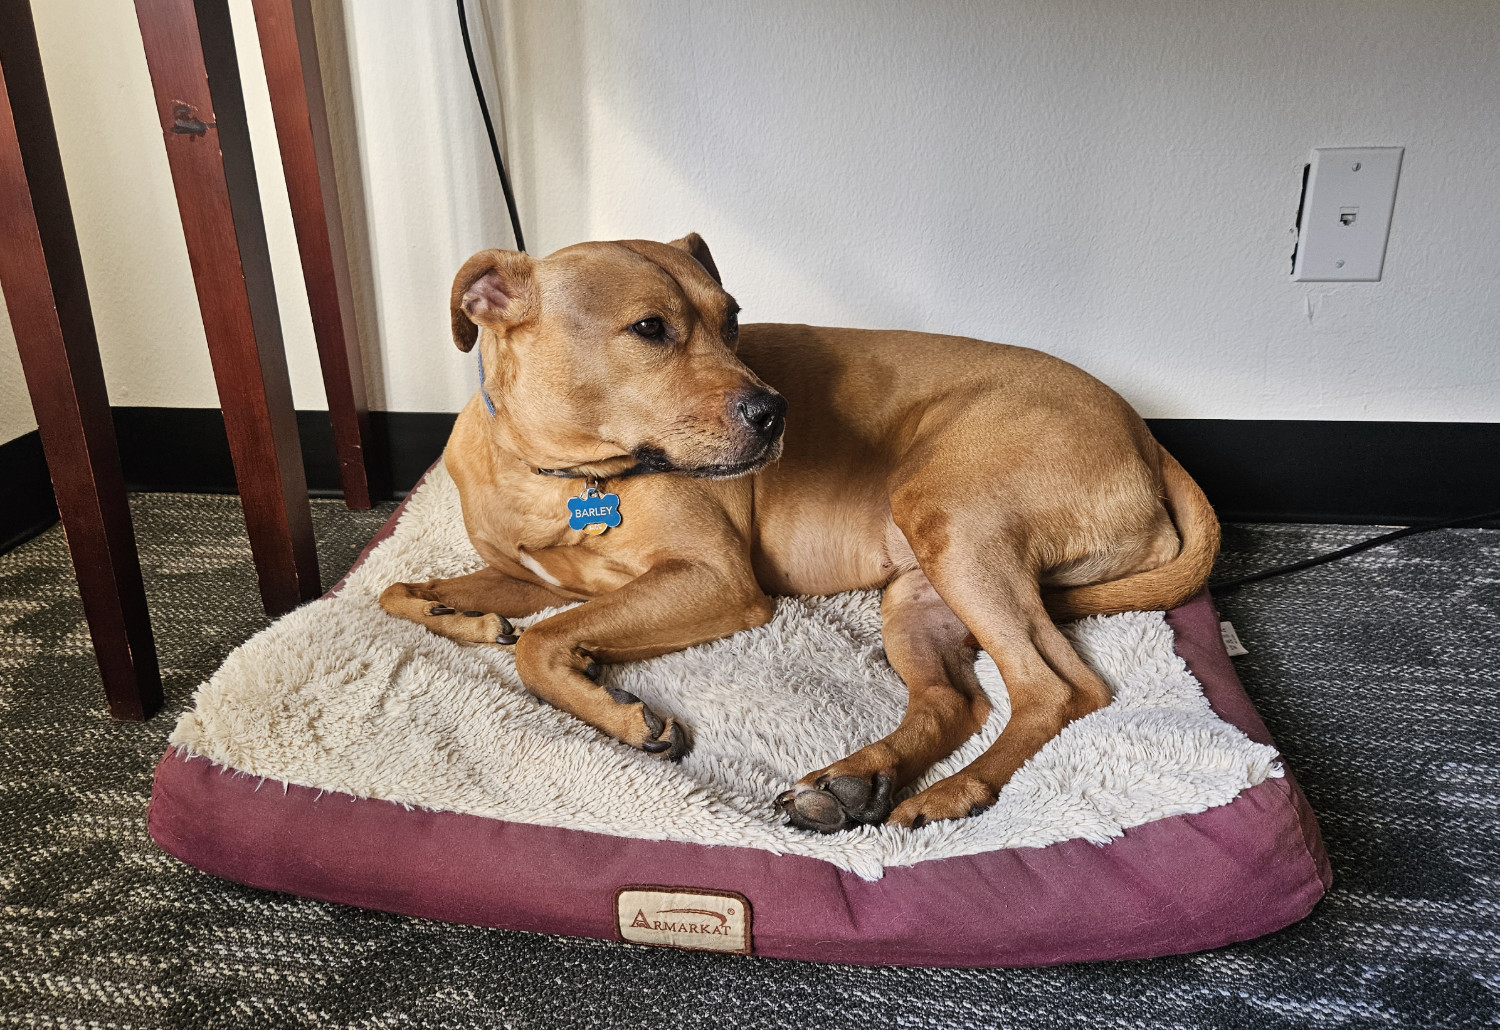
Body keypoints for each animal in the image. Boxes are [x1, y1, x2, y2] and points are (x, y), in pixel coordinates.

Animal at [378, 233, 1218, 827]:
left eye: (732, 320)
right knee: (957, 703)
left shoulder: (716, 581)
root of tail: (1146, 436)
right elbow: (397, 591)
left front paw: (619, 714)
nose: (776, 412)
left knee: (1058, 687)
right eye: (650, 328)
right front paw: (460, 614)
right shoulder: (524, 573)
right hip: (919, 594)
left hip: (952, 522)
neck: (560, 474)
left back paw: (954, 792)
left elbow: (546, 642)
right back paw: (857, 781)